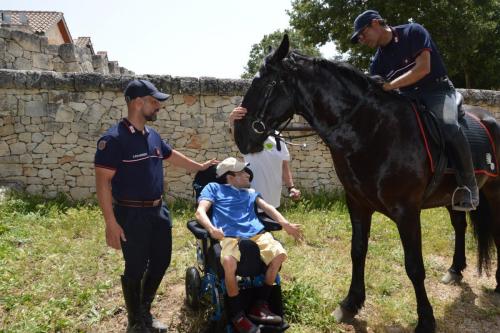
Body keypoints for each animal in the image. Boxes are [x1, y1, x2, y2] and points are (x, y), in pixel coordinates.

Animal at [234, 35, 500, 330]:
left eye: (266, 84)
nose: (240, 134)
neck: (374, 129)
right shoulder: (358, 204)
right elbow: (358, 251)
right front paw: (350, 304)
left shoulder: (407, 212)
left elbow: (414, 266)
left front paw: (425, 320)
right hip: (454, 198)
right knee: (459, 226)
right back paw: (455, 270)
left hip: (494, 191)